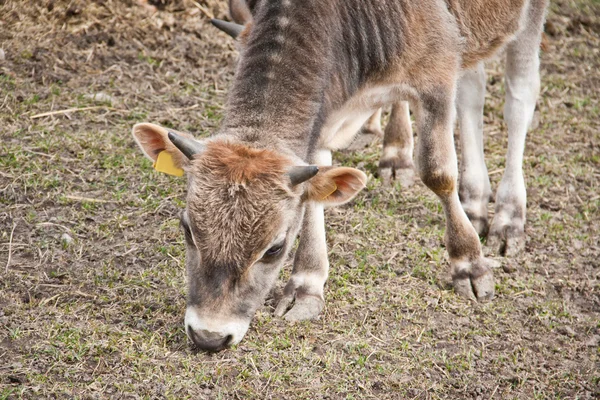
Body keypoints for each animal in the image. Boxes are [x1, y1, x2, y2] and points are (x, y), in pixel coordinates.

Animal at [134, 0, 548, 350]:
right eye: (188, 228)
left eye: (274, 248)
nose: (209, 335)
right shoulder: (328, 109)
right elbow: (316, 191)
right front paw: (305, 287)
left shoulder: (437, 75)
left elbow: (438, 172)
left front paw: (470, 266)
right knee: (473, 91)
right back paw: (474, 201)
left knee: (518, 98)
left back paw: (508, 218)